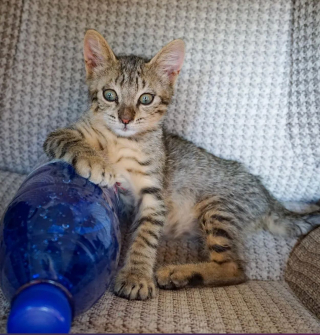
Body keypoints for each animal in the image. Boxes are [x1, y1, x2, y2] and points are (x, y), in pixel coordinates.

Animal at [43, 29, 318, 302]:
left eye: (146, 98)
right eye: (110, 94)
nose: (125, 119)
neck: (123, 141)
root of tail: (268, 197)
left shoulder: (154, 195)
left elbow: (145, 236)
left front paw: (136, 276)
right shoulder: (59, 135)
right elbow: (67, 139)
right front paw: (97, 161)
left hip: (218, 207)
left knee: (235, 269)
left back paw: (179, 273)